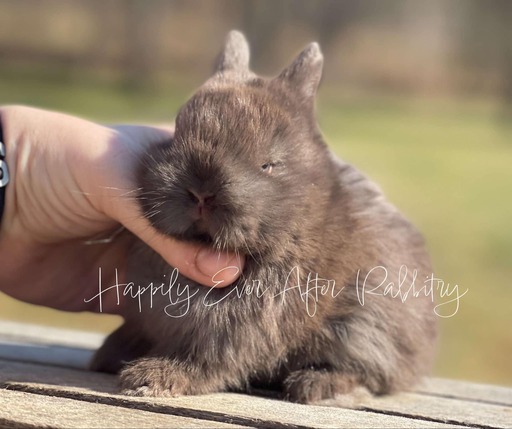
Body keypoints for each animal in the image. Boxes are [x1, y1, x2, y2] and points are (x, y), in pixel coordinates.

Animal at [91, 30, 436, 402]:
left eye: (268, 164)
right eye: (177, 133)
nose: (201, 193)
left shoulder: (248, 321)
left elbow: (214, 357)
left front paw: (152, 378)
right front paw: (112, 354)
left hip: (367, 325)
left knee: (370, 375)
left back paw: (317, 386)